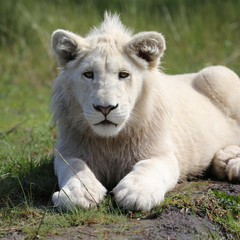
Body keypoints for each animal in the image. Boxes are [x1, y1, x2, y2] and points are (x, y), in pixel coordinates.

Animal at [50, 12, 240, 211]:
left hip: (217, 73)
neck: (111, 141)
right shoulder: (68, 151)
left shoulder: (163, 154)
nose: (105, 108)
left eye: (123, 74)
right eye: (88, 74)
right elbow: (75, 168)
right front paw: (78, 194)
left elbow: (147, 166)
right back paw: (225, 160)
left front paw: (135, 193)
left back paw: (233, 165)